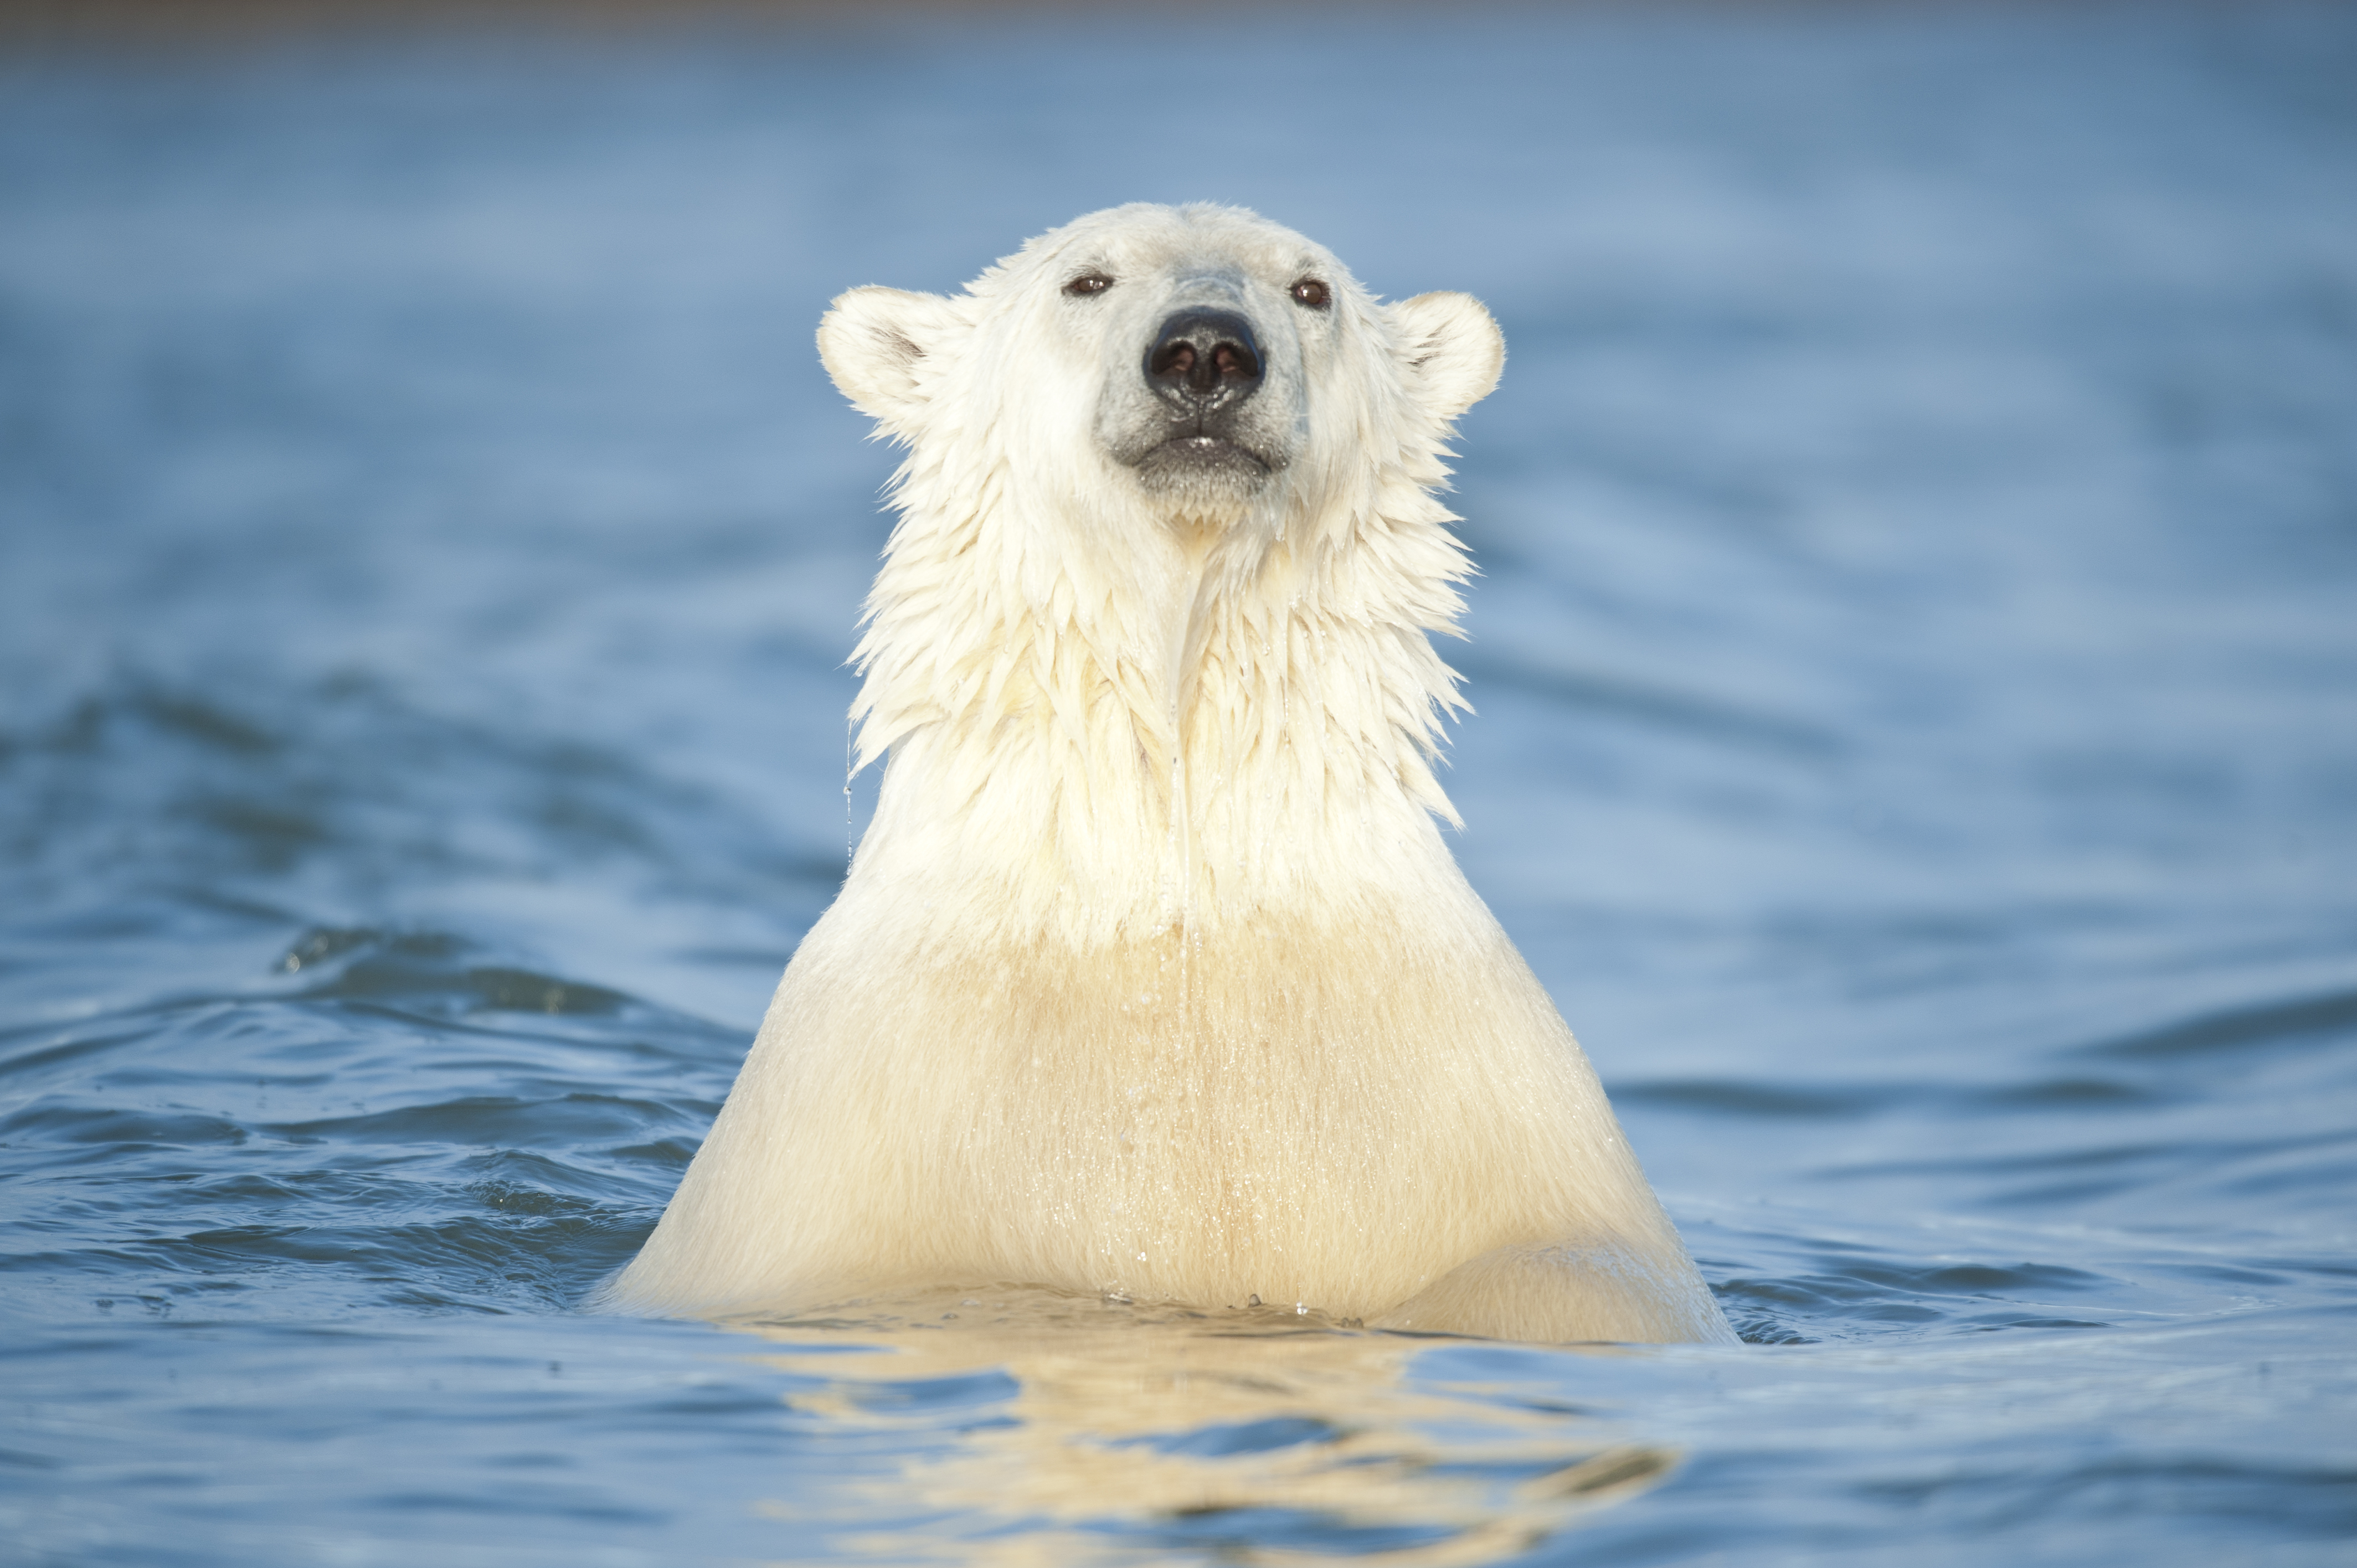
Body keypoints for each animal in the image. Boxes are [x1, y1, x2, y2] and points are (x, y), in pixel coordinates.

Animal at [613, 202, 1735, 1339]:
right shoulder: (851, 1147)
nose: (1205, 352)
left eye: (1311, 289)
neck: (1177, 902)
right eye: (1086, 280)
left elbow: (1559, 1274)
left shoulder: (1472, 1110)